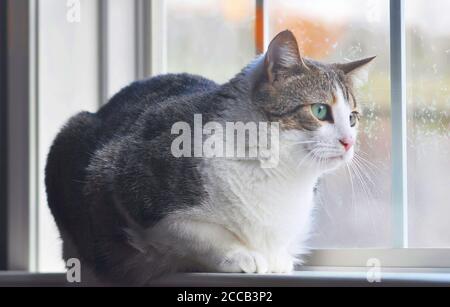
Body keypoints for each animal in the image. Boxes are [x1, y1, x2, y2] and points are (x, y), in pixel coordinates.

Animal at [45, 30, 374, 286]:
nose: (349, 142)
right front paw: (241, 254)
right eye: (320, 110)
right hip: (71, 135)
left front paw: (277, 257)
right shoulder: (121, 181)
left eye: (353, 118)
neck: (280, 175)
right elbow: (193, 231)